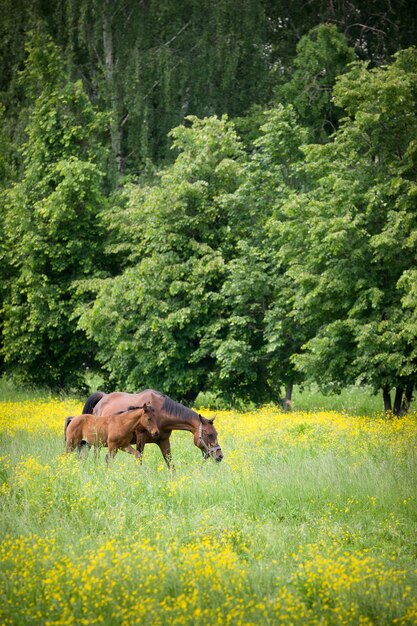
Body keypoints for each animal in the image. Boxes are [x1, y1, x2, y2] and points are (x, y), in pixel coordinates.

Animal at [82, 388, 224, 466]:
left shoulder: (164, 441)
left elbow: (170, 463)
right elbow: (139, 459)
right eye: (209, 434)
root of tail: (103, 398)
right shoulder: (141, 439)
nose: (219, 456)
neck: (159, 413)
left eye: (216, 434)